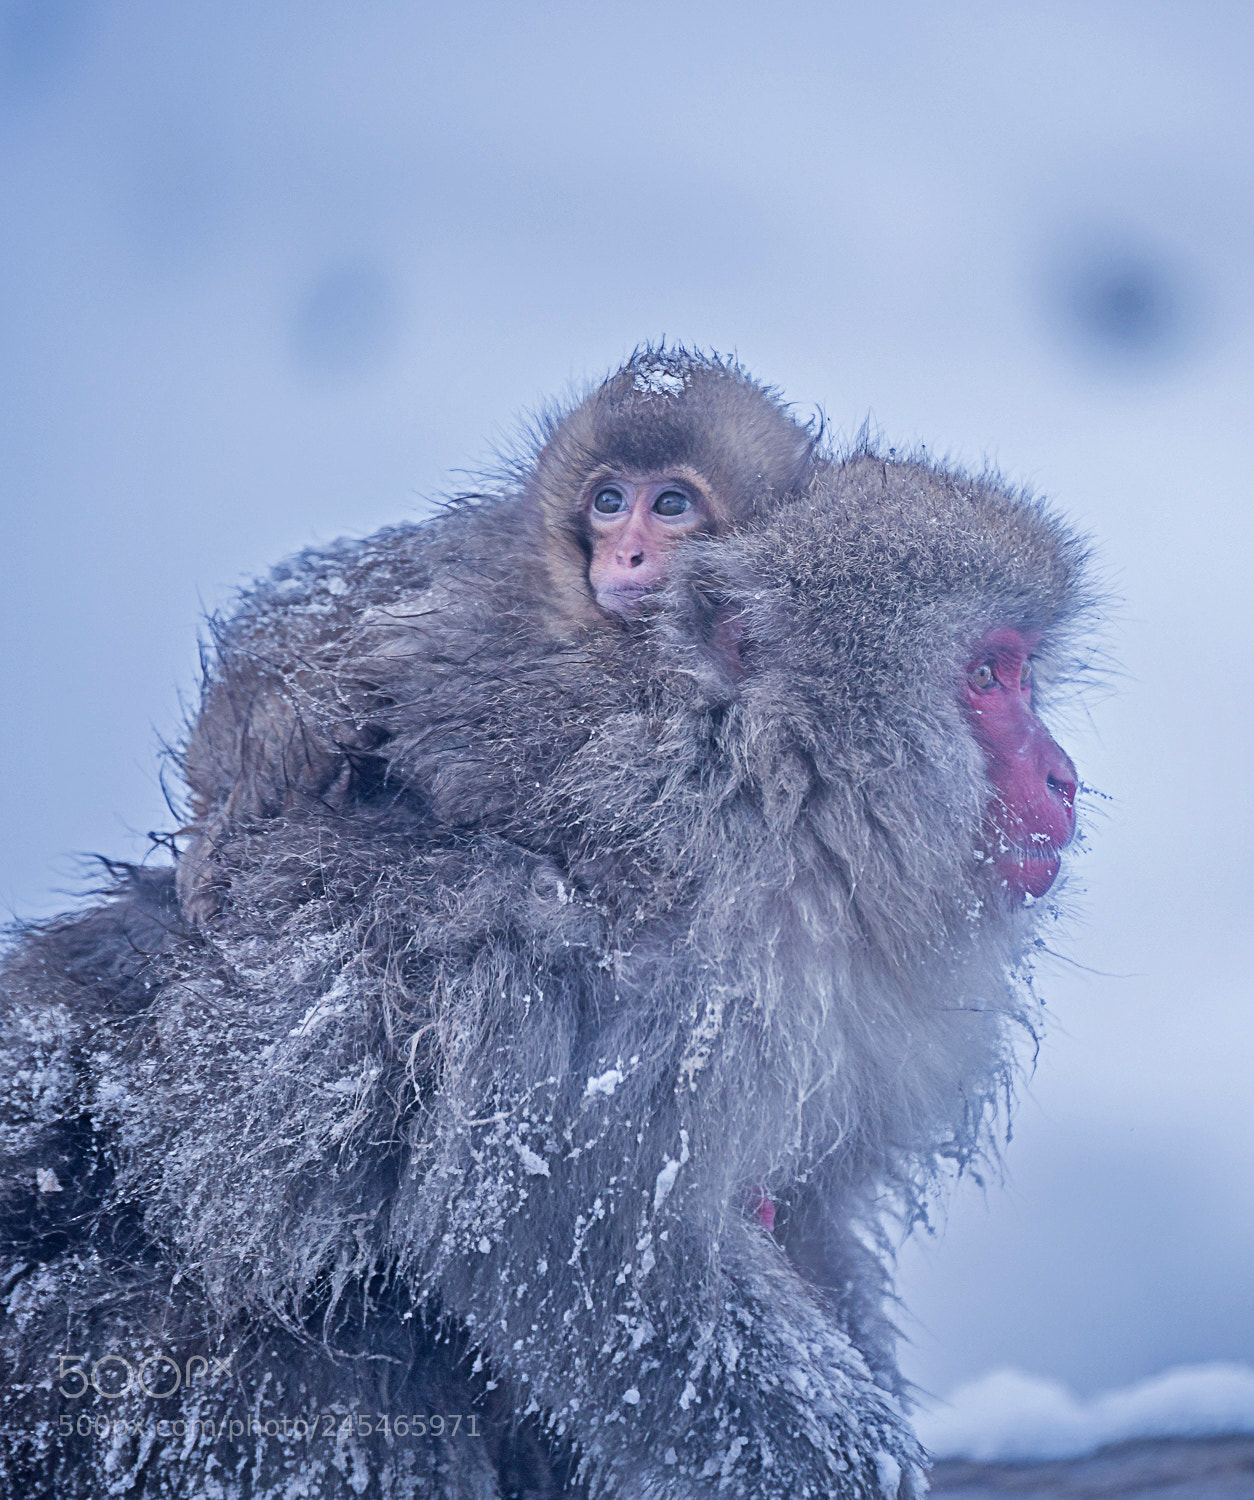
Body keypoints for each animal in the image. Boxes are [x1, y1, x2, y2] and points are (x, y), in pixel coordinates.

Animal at [0, 441, 1096, 1498]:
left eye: (1021, 673)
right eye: (989, 677)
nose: (1064, 776)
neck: (741, 801)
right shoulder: (603, 988)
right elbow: (586, 1252)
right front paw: (846, 1465)